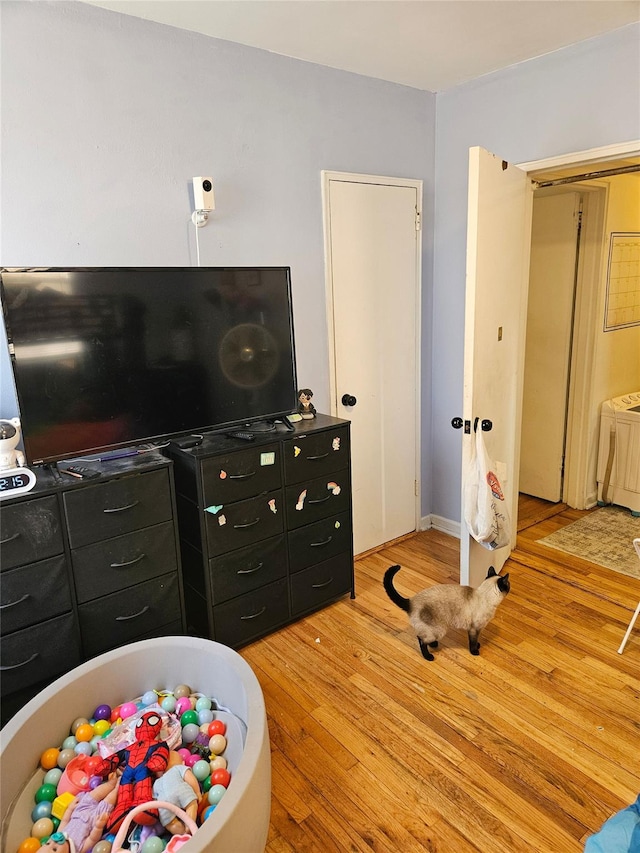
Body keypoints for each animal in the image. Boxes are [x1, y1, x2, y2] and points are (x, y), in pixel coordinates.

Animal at [382, 564, 512, 660]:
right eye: (508, 585)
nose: (510, 587)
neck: (484, 596)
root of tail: (410, 602)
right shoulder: (474, 629)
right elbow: (473, 642)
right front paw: (475, 651)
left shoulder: (474, 629)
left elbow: (475, 640)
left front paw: (478, 645)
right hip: (439, 630)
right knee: (421, 640)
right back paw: (429, 656)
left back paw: (433, 644)